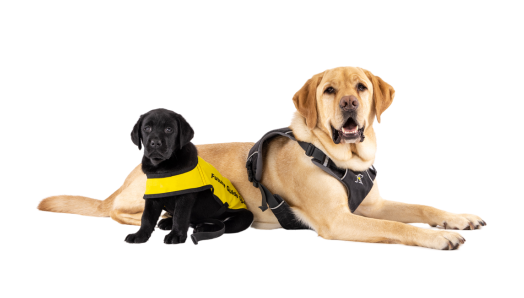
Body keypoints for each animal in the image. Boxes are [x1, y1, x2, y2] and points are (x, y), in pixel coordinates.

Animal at [125, 107, 252, 244]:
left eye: (169, 129)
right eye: (146, 128)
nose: (155, 143)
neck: (162, 167)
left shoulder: (185, 197)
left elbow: (180, 216)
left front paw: (176, 235)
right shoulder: (153, 196)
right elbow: (147, 217)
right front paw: (140, 235)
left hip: (245, 216)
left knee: (225, 225)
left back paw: (204, 227)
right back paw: (168, 222)